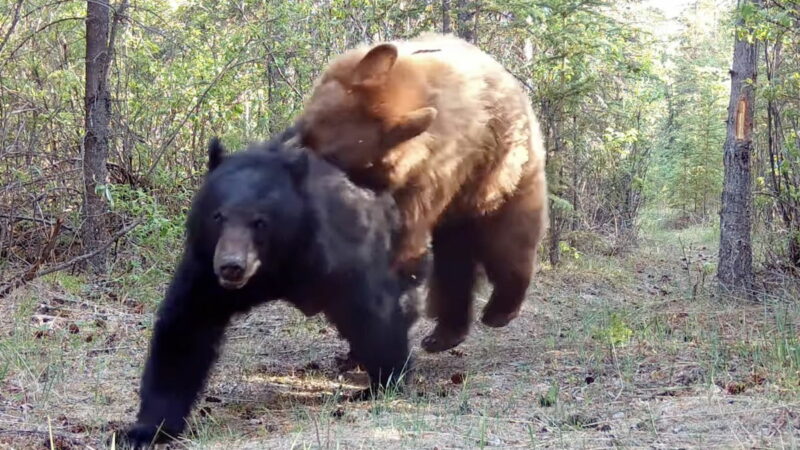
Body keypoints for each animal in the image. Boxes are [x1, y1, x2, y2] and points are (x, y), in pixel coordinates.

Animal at [117, 130, 424, 446]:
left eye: (260, 221)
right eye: (217, 216)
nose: (231, 266)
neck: (276, 265)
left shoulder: (342, 252)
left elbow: (372, 311)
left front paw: (386, 381)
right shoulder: (205, 272)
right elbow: (185, 330)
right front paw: (147, 429)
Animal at [300, 32, 552, 356]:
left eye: (338, 158)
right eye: (307, 133)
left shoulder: (429, 173)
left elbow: (401, 241)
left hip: (501, 175)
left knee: (507, 240)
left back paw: (500, 310)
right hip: (459, 210)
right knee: (454, 264)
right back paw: (443, 335)